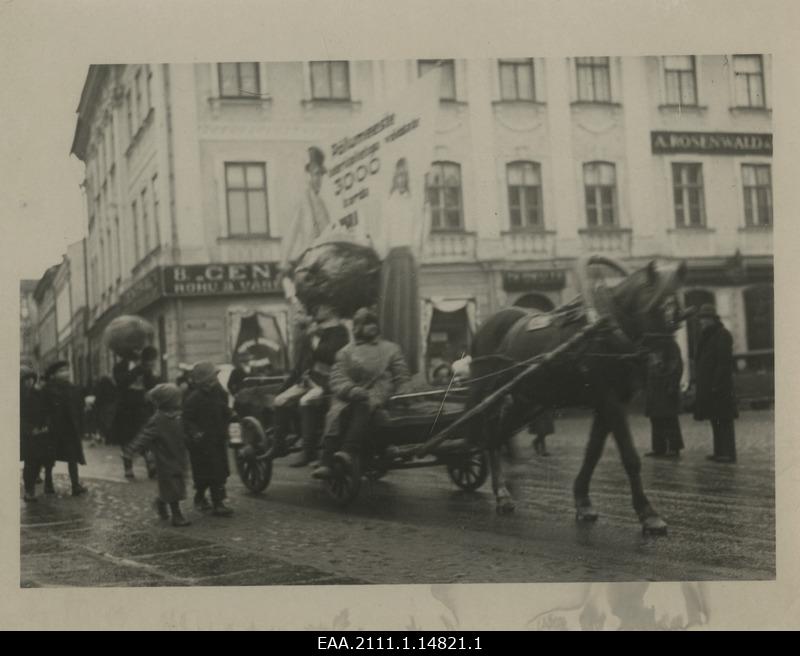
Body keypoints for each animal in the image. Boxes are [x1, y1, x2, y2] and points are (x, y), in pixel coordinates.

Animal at [468, 254, 688, 536]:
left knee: (499, 433)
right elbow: (629, 456)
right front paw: (648, 514)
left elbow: (592, 452)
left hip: (522, 396)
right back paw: (502, 493)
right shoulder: (610, 400)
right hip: (488, 394)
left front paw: (583, 501)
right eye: (652, 309)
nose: (670, 365)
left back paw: (505, 487)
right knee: (489, 436)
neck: (607, 329)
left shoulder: (608, 402)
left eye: (679, 313)